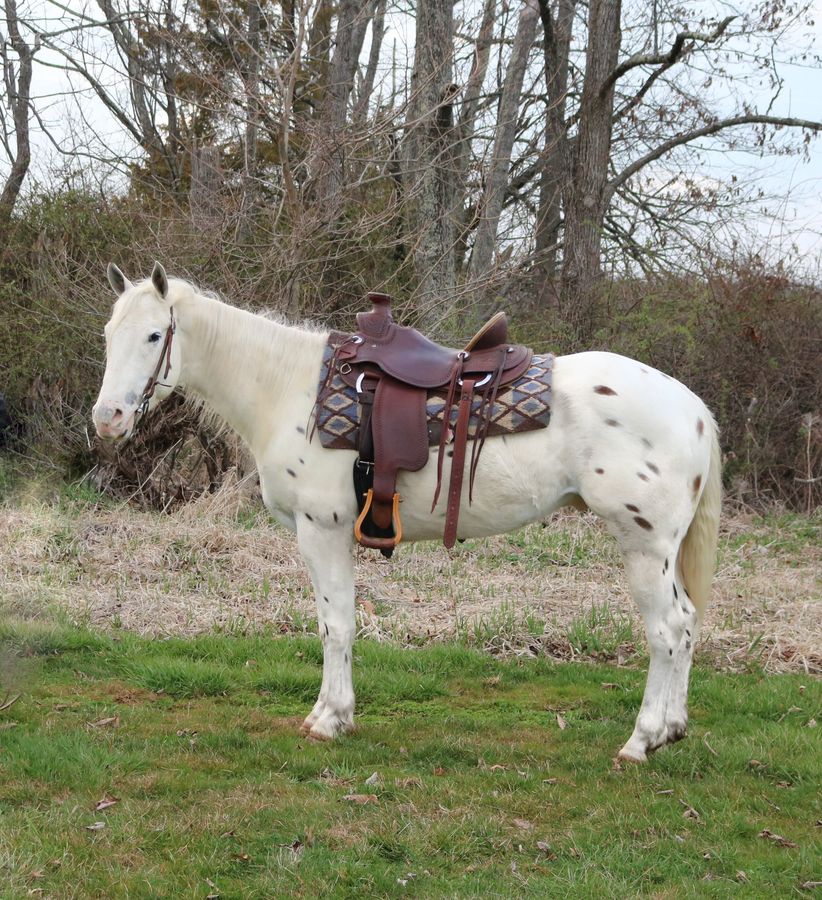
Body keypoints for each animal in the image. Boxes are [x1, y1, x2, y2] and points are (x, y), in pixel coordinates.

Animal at [92, 262, 722, 762]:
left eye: (154, 335)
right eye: (108, 333)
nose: (107, 418)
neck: (289, 389)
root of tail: (694, 409)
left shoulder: (323, 531)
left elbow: (336, 625)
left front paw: (329, 719)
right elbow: (337, 622)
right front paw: (334, 713)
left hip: (644, 547)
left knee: (668, 630)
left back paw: (641, 740)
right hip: (662, 553)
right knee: (689, 625)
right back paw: (672, 729)